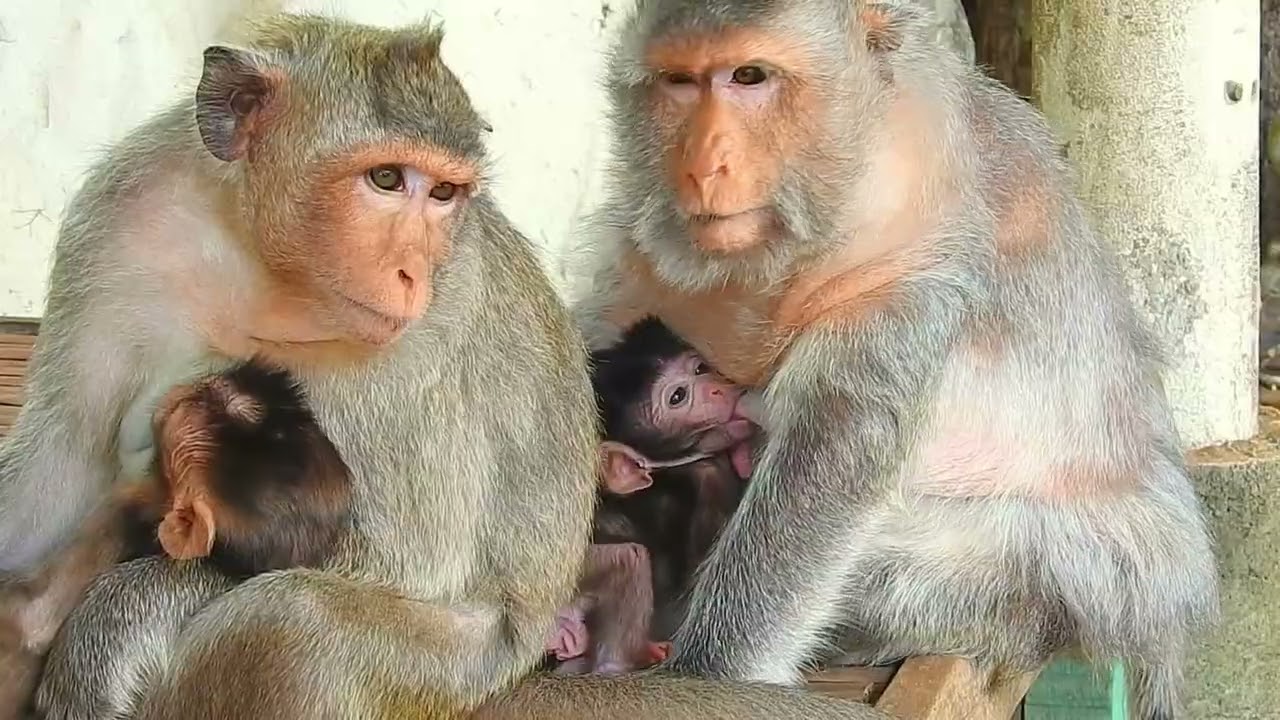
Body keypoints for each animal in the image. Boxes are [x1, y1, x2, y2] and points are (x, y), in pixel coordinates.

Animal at [0, 12, 887, 719]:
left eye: (444, 195)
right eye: (387, 178)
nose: (412, 273)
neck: (272, 269)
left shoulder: (422, 336)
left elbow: (378, 555)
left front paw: (116, 612)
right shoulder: (129, 215)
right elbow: (62, 460)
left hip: (456, 668)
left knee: (297, 624)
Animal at [564, 1, 1220, 717]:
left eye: (749, 76)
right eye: (680, 82)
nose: (701, 167)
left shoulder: (903, 274)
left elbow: (833, 458)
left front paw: (710, 671)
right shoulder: (647, 258)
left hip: (1094, 577)